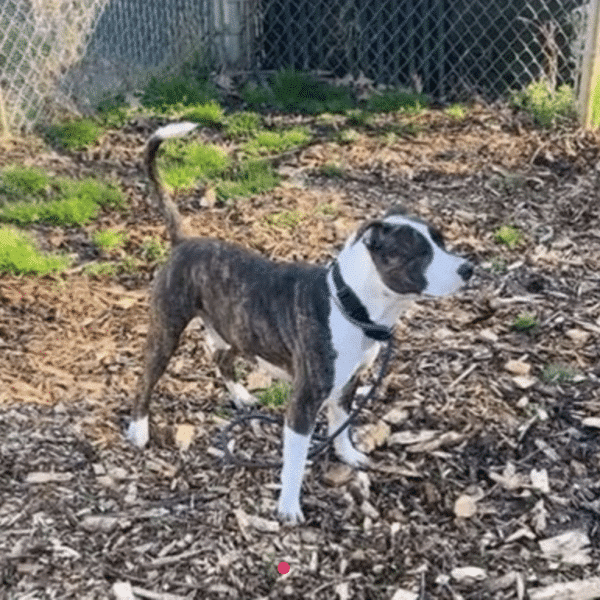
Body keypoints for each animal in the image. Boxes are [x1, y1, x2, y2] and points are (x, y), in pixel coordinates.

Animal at [130, 119, 474, 524]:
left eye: (442, 241)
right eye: (419, 253)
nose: (468, 268)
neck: (351, 304)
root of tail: (184, 241)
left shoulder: (348, 383)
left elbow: (341, 424)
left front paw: (347, 454)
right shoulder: (304, 400)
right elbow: (294, 460)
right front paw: (289, 507)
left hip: (235, 328)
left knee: (221, 357)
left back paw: (241, 395)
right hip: (166, 330)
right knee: (147, 378)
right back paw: (139, 429)